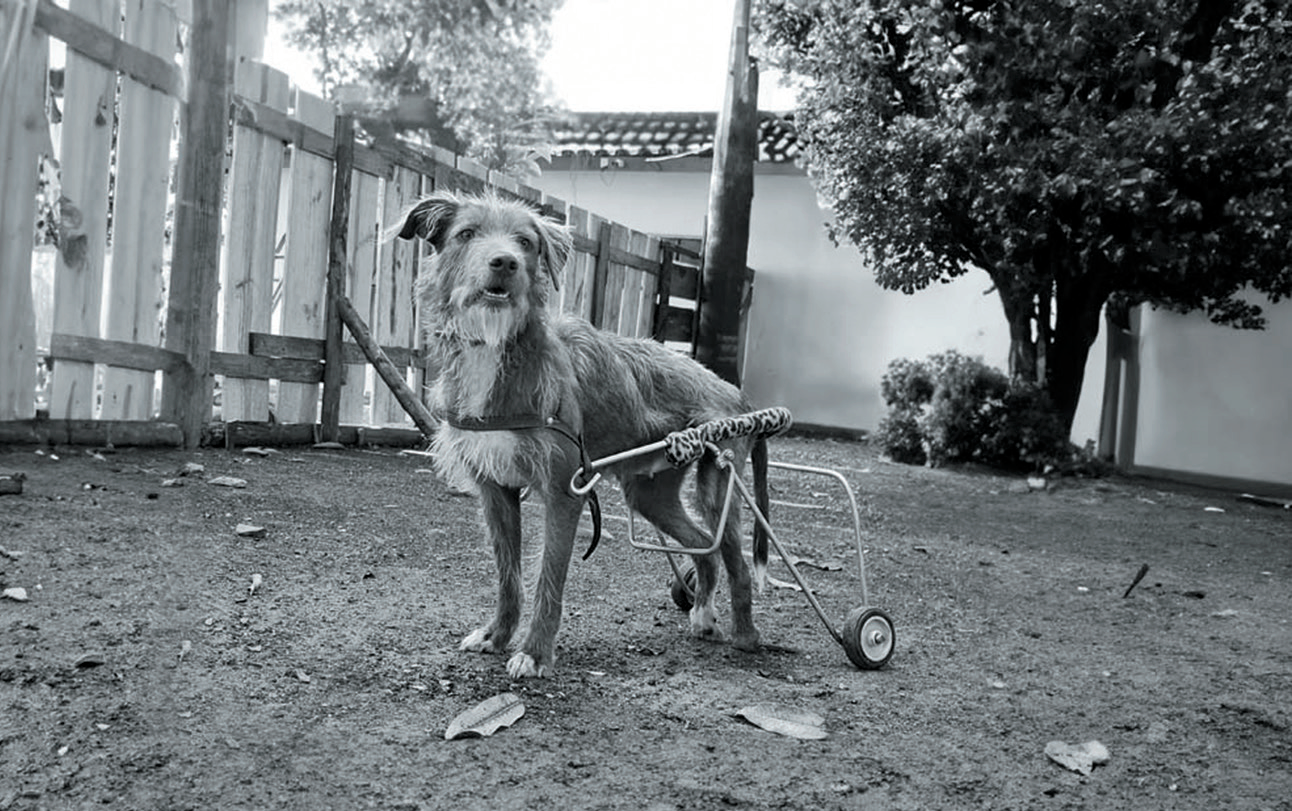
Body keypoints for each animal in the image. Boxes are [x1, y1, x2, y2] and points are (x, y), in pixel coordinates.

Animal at [398, 191, 771, 678]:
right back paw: (704, 615)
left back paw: (745, 636)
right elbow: (508, 576)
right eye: (466, 234)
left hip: (719, 486)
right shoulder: (495, 490)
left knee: (737, 563)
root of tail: (736, 392)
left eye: (526, 242)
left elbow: (548, 577)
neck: (497, 348)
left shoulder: (564, 490)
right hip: (650, 494)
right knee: (701, 547)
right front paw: (497, 635)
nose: (505, 262)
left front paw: (535, 653)